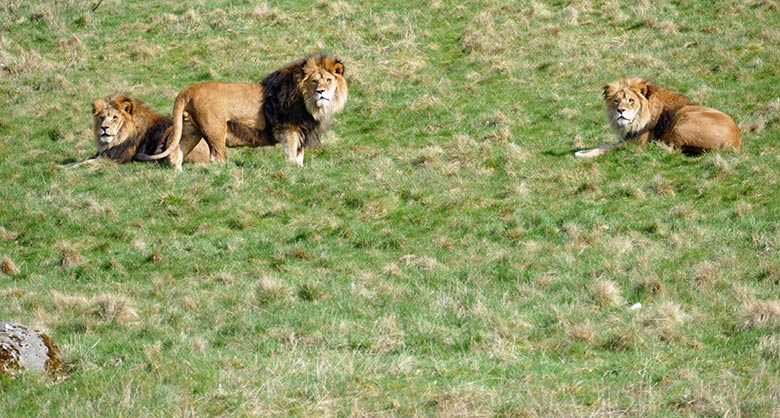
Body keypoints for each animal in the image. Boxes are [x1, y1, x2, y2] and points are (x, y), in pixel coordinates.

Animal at [137, 53, 348, 169]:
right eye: (314, 81)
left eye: (328, 80)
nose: (321, 91)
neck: (310, 104)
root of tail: (188, 90)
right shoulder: (288, 129)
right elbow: (290, 156)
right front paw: (292, 171)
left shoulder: (302, 132)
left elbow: (299, 156)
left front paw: (300, 169)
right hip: (215, 130)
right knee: (216, 158)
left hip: (191, 130)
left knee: (176, 154)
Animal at [576, 77, 740, 158]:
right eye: (616, 101)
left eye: (631, 100)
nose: (620, 110)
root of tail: (736, 143)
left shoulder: (634, 144)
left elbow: (606, 149)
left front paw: (583, 153)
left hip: (684, 122)